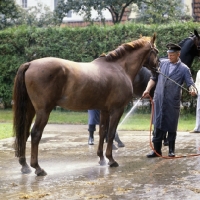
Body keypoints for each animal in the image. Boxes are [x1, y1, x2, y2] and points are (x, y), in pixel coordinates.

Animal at [13, 33, 159, 176]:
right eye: (156, 51)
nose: (157, 68)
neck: (119, 68)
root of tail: (30, 64)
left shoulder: (104, 110)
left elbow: (102, 132)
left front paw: (101, 159)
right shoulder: (117, 109)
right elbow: (111, 133)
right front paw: (111, 160)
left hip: (29, 109)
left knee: (24, 133)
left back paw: (25, 166)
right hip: (43, 111)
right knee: (35, 134)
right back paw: (38, 168)